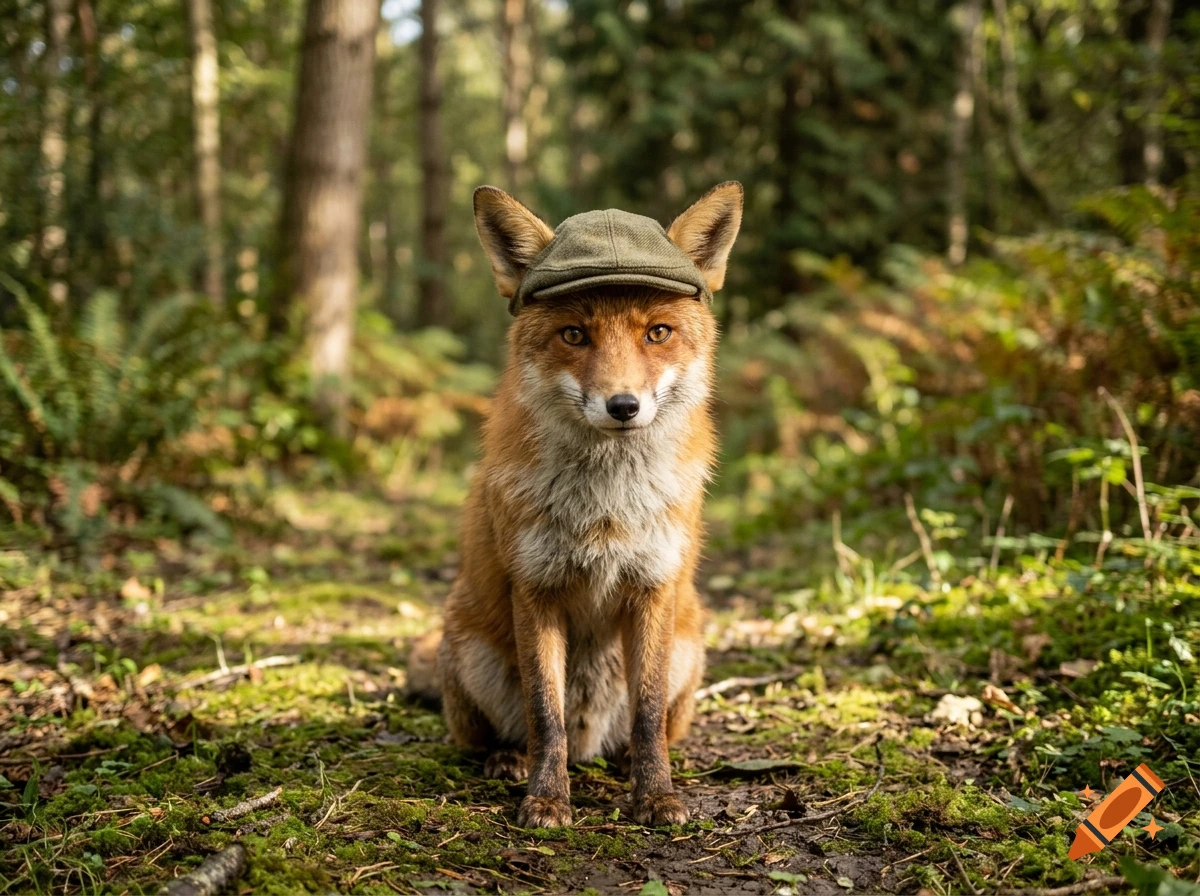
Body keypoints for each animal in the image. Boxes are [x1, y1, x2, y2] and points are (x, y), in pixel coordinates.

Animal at [407, 181, 743, 829]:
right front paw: (546, 798)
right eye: (574, 335)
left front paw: (655, 795)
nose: (623, 406)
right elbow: (546, 713)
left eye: (657, 333)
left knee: (644, 727)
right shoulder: (535, 588)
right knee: (507, 733)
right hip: (472, 654)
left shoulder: (654, 587)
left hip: (688, 646)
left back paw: (624, 761)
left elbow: (646, 713)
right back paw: (510, 760)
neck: (607, 508)